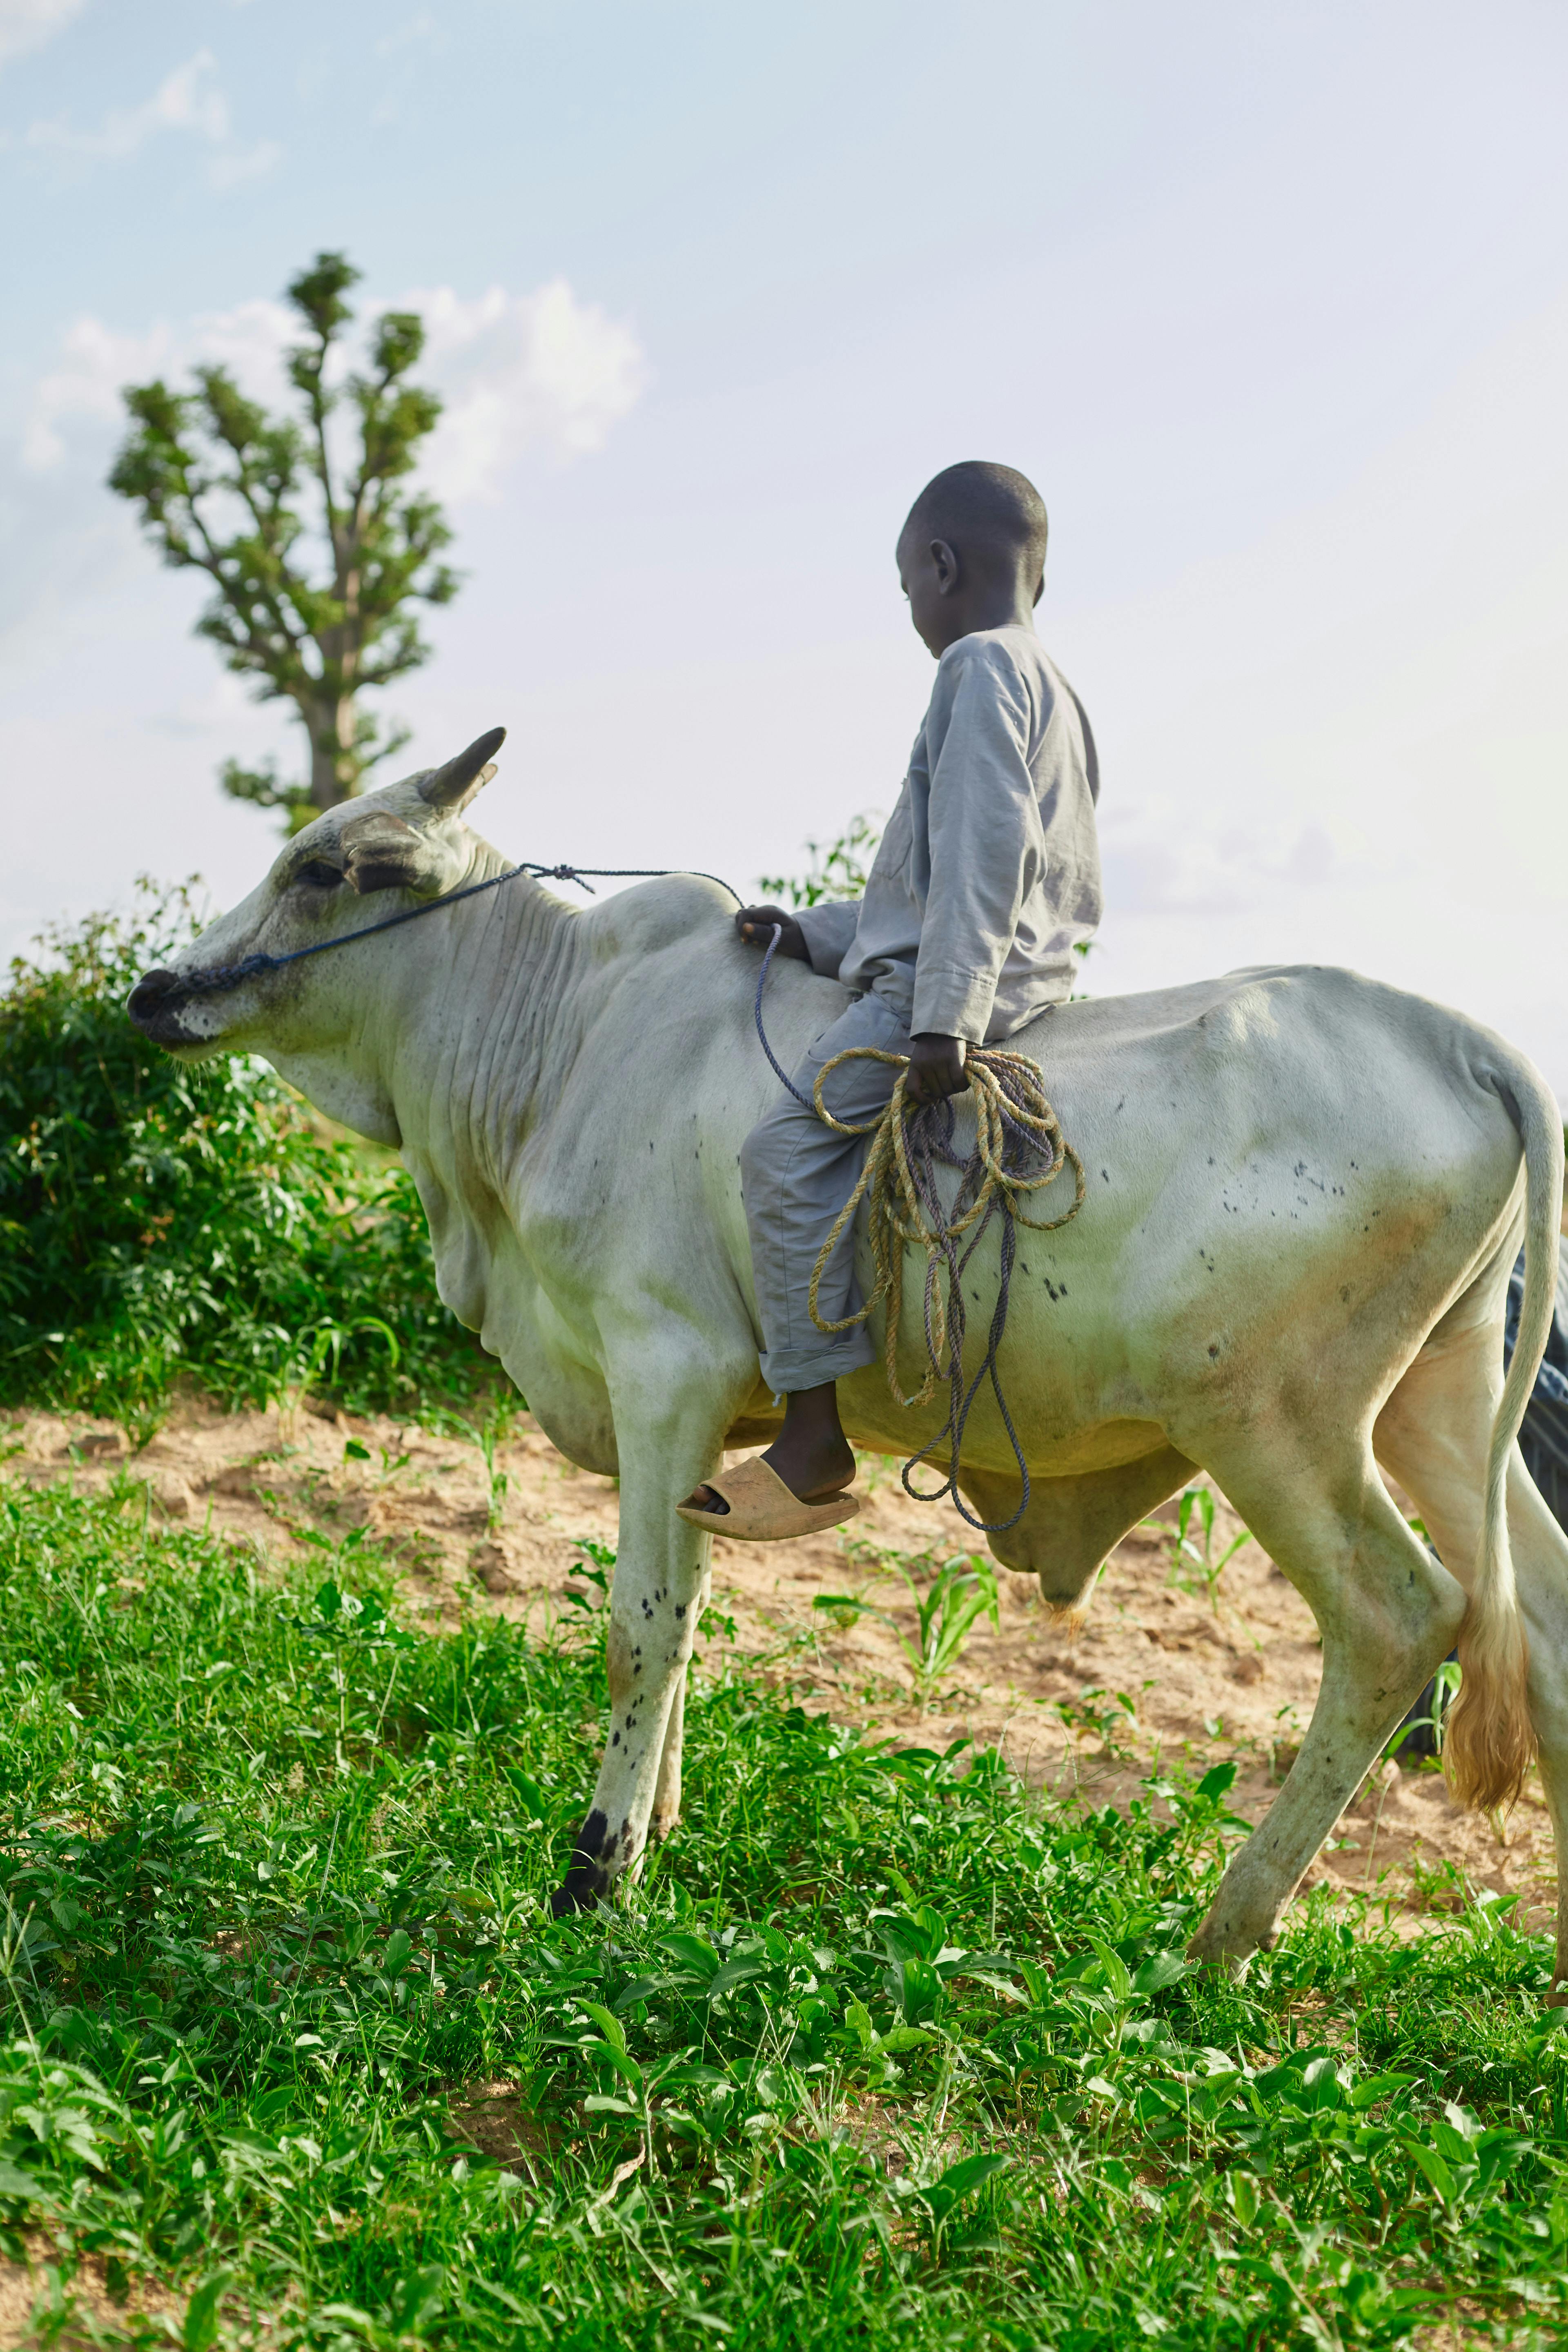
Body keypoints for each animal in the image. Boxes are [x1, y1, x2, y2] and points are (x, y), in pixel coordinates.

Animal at [128, 730, 1568, 1989]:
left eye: (329, 868)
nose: (156, 991)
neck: (558, 1033)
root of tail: (1466, 1043)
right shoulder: (698, 1427)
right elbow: (689, 1619)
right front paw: (656, 1837)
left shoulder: (664, 1370)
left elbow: (639, 1631)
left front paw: (595, 1876)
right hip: (1436, 1407)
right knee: (1541, 1624)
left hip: (1274, 1427)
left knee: (1399, 1622)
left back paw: (1222, 1934)